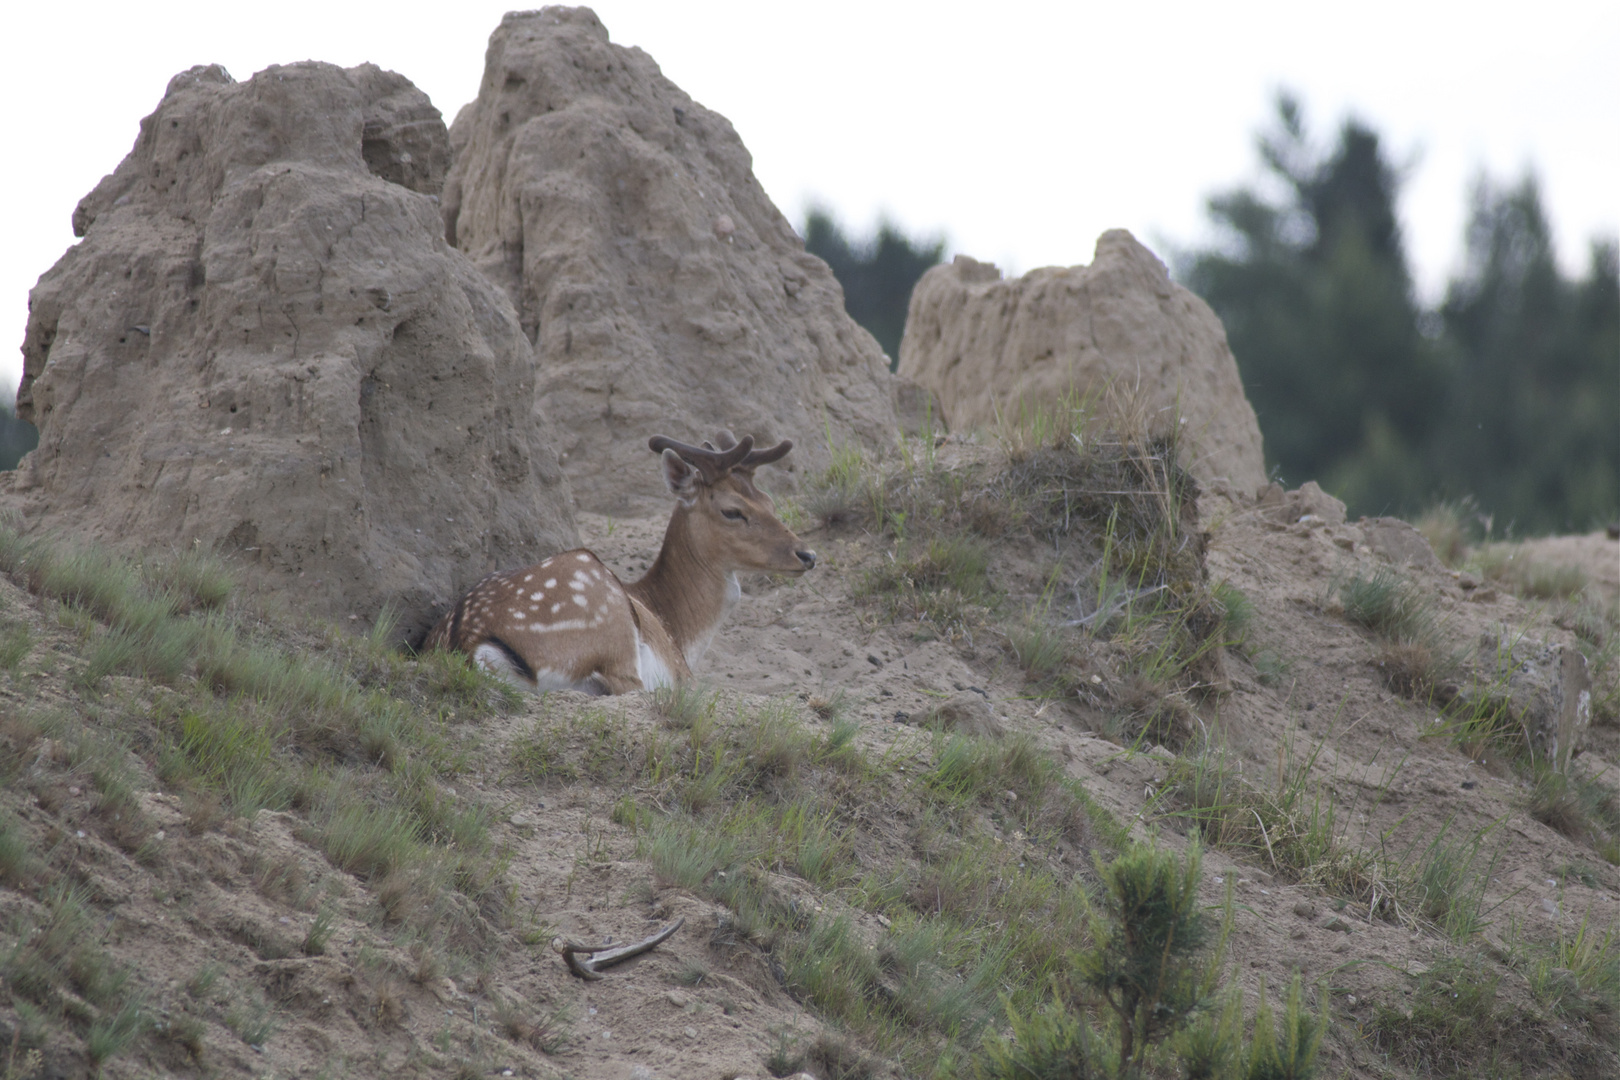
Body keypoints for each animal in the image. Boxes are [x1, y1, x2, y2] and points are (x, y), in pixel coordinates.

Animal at [424, 430, 816, 693]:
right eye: (733, 510)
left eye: (768, 500)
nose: (807, 554)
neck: (679, 630)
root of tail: (468, 642)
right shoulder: (683, 674)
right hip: (607, 623)